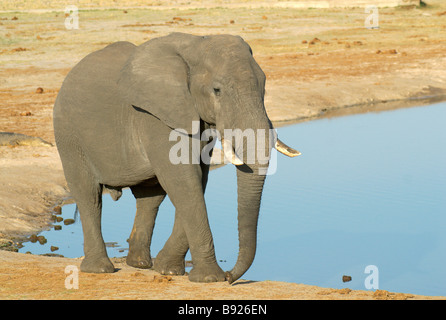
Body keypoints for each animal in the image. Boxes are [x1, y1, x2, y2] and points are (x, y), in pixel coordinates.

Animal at [55, 31, 300, 282]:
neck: (196, 45)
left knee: (150, 197)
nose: (230, 276)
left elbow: (197, 179)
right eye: (217, 90)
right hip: (69, 135)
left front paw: (168, 269)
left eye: (264, 88)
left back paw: (140, 264)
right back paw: (100, 268)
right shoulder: (156, 115)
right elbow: (183, 179)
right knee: (88, 195)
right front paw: (210, 279)